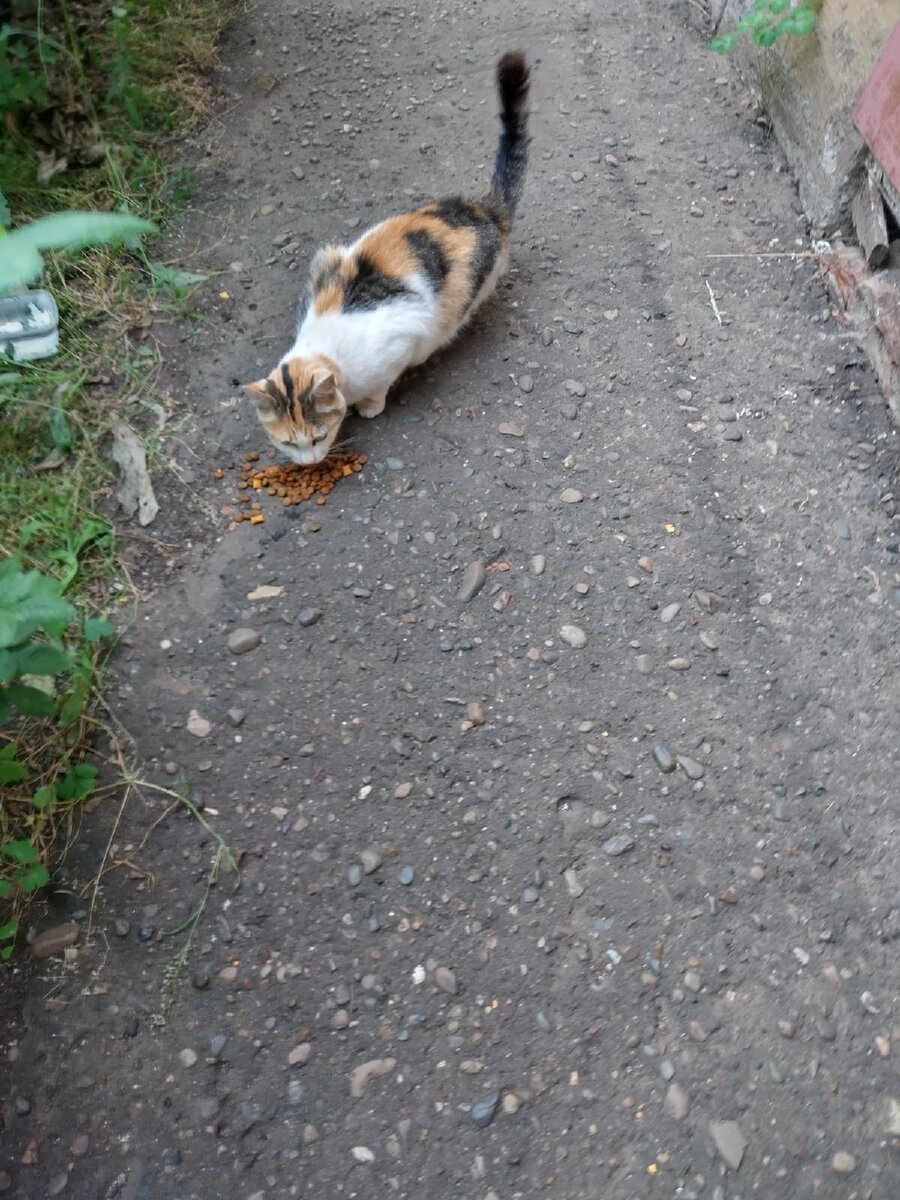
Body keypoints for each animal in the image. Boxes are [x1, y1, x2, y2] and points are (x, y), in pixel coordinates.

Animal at [243, 51, 532, 463]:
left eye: (317, 437)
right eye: (286, 442)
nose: (309, 463)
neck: (326, 350)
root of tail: (483, 208)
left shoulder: (403, 338)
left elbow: (381, 383)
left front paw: (370, 405)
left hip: (466, 294)